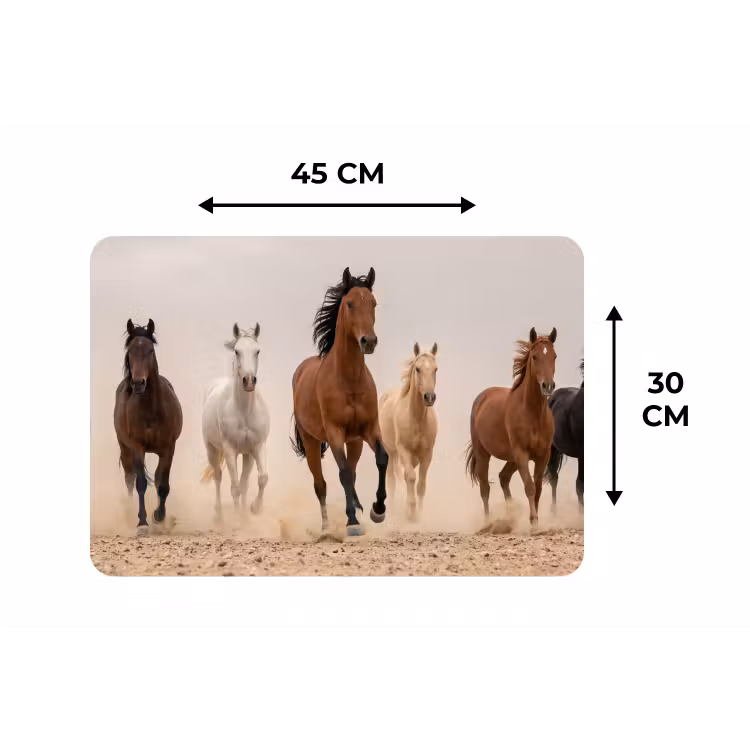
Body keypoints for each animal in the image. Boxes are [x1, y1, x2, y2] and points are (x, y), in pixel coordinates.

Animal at [114, 319, 183, 533]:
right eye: (130, 351)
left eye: (150, 350)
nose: (138, 383)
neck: (152, 409)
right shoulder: (137, 447)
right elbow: (141, 484)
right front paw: (142, 522)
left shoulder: (168, 448)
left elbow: (163, 484)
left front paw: (159, 516)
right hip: (124, 448)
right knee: (129, 478)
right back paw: (130, 513)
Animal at [201, 323, 270, 514]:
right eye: (237, 351)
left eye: (257, 351)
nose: (249, 381)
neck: (244, 412)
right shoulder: (230, 450)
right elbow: (235, 488)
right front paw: (238, 518)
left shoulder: (256, 447)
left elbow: (261, 479)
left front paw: (254, 509)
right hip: (212, 450)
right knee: (218, 476)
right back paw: (219, 515)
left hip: (246, 455)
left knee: (244, 482)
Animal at [290, 267, 388, 537]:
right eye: (350, 304)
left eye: (374, 303)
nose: (369, 341)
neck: (350, 380)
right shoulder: (334, 433)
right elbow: (342, 473)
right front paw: (352, 522)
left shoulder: (369, 429)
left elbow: (382, 458)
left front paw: (377, 510)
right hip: (312, 442)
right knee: (321, 484)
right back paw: (326, 528)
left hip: (354, 442)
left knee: (352, 473)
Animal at [379, 342, 439, 522]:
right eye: (417, 369)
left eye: (435, 369)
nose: (429, 397)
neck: (417, 419)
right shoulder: (404, 451)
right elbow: (410, 477)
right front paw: (411, 513)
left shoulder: (427, 455)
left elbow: (421, 485)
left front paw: (418, 514)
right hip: (391, 453)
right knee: (391, 480)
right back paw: (391, 510)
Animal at [465, 327, 557, 527]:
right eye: (535, 356)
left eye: (554, 356)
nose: (548, 386)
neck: (532, 413)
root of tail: (481, 397)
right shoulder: (522, 453)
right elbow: (530, 487)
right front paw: (534, 521)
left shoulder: (543, 455)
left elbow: (538, 487)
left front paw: (535, 520)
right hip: (483, 454)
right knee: (485, 488)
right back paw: (488, 521)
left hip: (512, 459)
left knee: (503, 477)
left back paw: (510, 513)